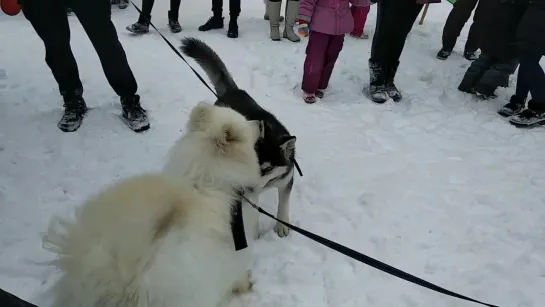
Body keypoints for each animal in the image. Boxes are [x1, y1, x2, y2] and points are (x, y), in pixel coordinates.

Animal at [43, 103, 264, 307]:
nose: (260, 122)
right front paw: (246, 285)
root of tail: (128, 290)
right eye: (246, 122)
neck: (209, 180)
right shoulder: (238, 251)